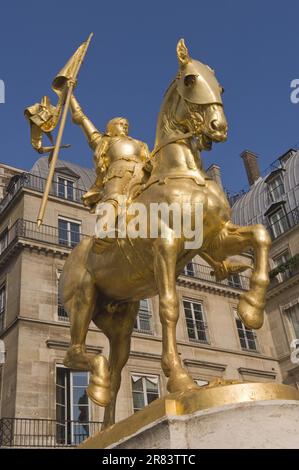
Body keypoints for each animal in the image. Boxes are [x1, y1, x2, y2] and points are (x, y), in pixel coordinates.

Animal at [61, 39, 272, 430]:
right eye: (190, 79)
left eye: (221, 86)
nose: (219, 126)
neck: (181, 173)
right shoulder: (165, 247)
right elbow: (170, 308)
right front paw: (180, 379)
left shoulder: (215, 239)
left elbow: (261, 235)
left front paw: (251, 309)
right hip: (82, 297)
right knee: (76, 353)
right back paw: (96, 386)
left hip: (119, 320)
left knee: (116, 370)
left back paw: (110, 425)